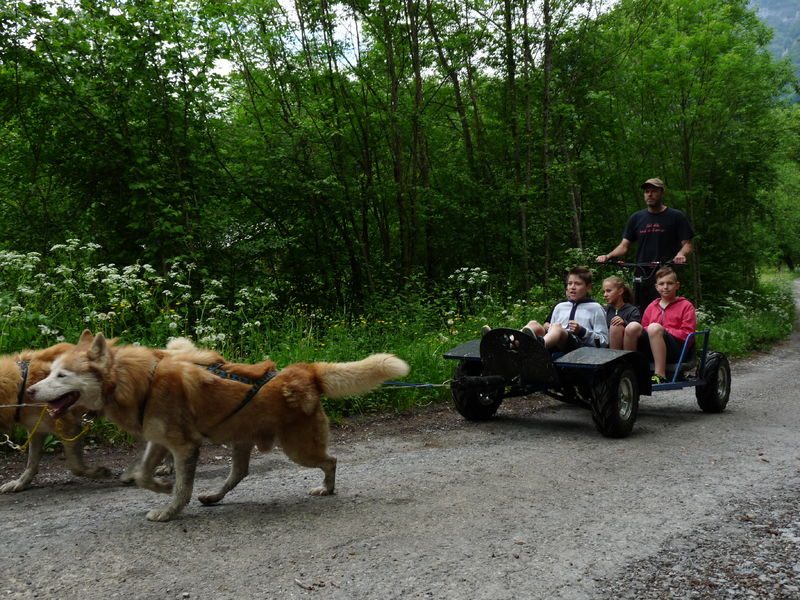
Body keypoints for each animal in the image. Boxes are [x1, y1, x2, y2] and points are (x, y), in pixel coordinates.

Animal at [28, 330, 410, 524]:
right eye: (51, 372)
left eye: (61, 375)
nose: (30, 391)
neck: (137, 380)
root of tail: (305, 371)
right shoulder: (159, 440)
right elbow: (141, 475)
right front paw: (162, 487)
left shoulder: (184, 446)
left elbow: (181, 487)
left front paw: (169, 509)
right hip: (242, 441)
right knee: (239, 474)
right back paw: (213, 496)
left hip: (299, 448)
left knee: (330, 461)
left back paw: (327, 489)